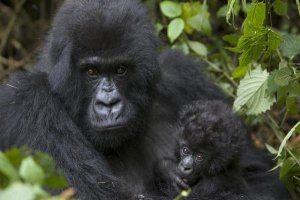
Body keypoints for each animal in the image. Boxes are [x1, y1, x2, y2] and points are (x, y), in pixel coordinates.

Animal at [0, 0, 290, 200]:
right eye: (91, 71)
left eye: (120, 70)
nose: (109, 104)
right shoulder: (29, 103)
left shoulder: (181, 74)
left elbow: (257, 175)